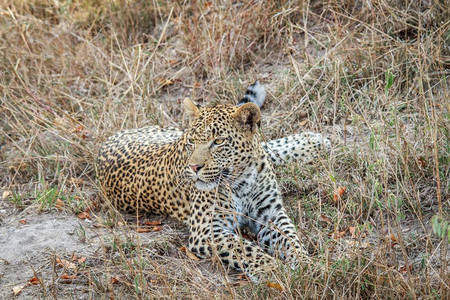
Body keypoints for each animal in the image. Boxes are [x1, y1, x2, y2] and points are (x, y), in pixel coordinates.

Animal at [96, 81, 328, 280]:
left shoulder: (270, 214)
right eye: (192, 142)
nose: (193, 167)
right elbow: (246, 249)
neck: (242, 178)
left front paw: (306, 264)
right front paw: (272, 270)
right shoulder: (207, 229)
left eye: (218, 141)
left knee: (267, 147)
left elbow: (290, 238)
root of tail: (111, 138)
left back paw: (313, 141)